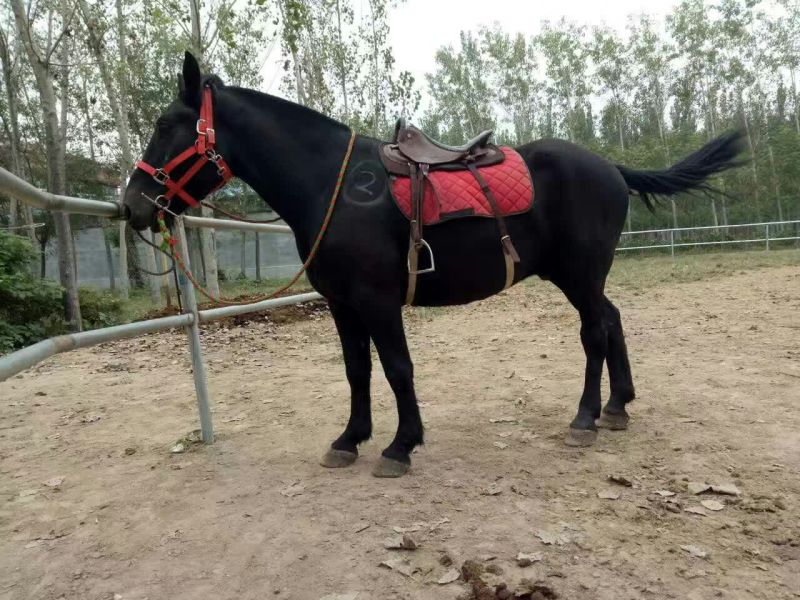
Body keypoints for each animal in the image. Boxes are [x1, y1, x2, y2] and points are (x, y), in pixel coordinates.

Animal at [125, 52, 745, 477]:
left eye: (166, 125)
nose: (131, 204)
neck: (335, 187)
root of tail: (610, 167)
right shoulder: (342, 305)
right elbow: (357, 372)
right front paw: (350, 439)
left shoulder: (377, 300)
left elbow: (398, 369)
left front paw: (401, 446)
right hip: (581, 277)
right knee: (612, 321)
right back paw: (618, 406)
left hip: (579, 274)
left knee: (595, 331)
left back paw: (587, 417)